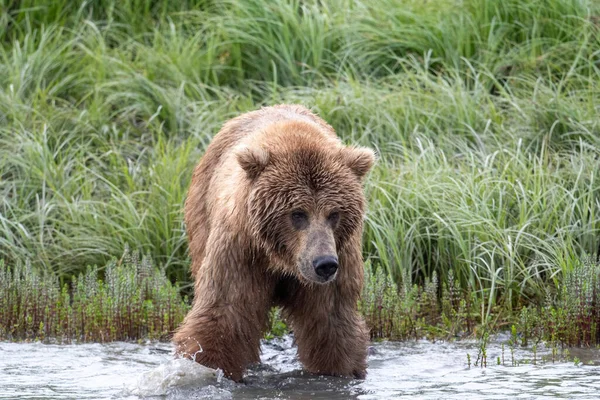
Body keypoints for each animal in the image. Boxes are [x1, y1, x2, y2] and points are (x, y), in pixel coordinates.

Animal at [171, 103, 372, 382]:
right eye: (298, 214)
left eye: (334, 214)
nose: (324, 264)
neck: (282, 260)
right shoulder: (241, 248)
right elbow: (225, 311)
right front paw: (205, 366)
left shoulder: (339, 256)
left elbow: (331, 322)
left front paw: (341, 370)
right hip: (201, 215)